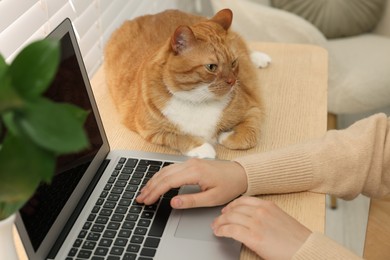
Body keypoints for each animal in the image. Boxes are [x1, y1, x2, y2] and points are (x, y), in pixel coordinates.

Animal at [104, 8, 268, 158]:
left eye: (233, 63)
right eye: (211, 67)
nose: (233, 81)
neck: (198, 100)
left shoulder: (252, 108)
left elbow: (247, 137)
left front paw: (225, 135)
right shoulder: (151, 131)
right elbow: (177, 137)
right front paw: (203, 148)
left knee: (244, 47)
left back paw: (260, 58)